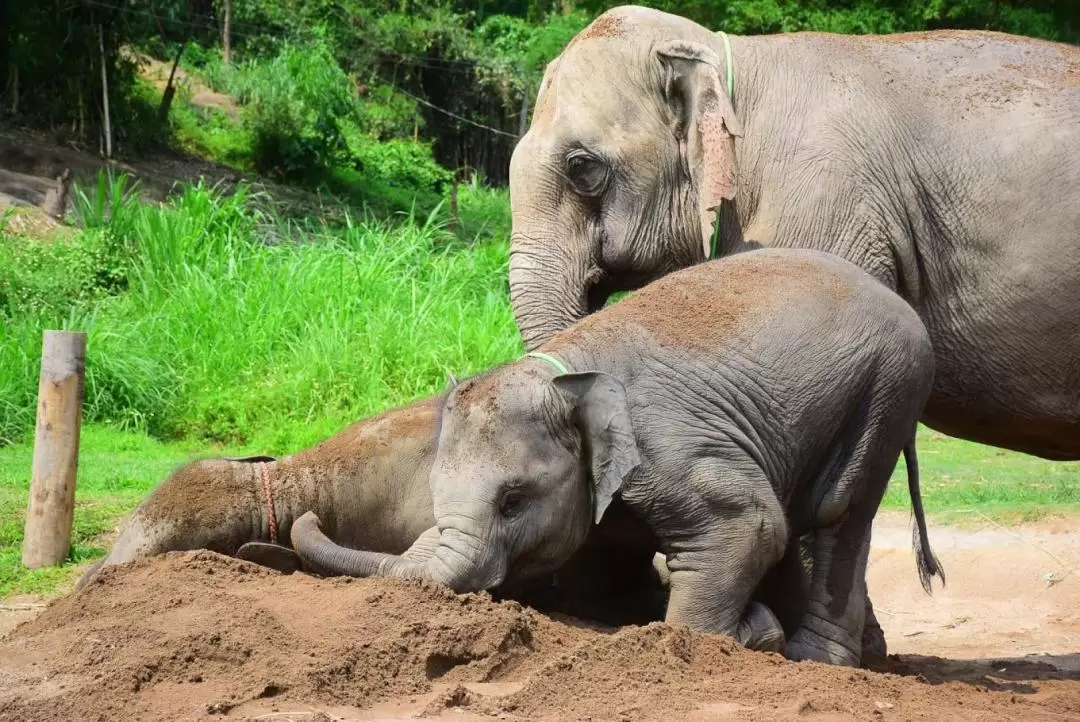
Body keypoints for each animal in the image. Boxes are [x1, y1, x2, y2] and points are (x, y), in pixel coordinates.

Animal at [293, 248, 946, 664]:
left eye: (512, 501)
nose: (311, 514)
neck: (566, 378)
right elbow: (595, 577)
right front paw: (747, 628)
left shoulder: (669, 450)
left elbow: (750, 524)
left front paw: (734, 639)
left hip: (890, 383)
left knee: (836, 511)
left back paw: (816, 661)